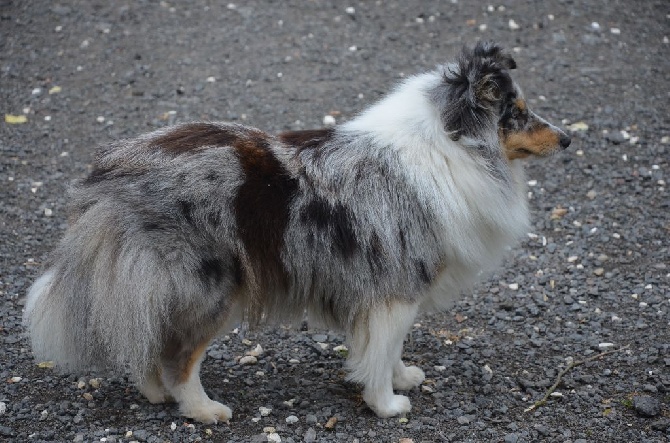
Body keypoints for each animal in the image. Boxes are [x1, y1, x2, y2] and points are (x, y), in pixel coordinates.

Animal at [25, 42, 572, 426]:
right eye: (518, 113)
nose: (568, 138)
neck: (451, 146)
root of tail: (109, 173)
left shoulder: (391, 290)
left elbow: (390, 347)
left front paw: (403, 378)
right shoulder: (395, 286)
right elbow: (380, 350)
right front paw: (386, 403)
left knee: (147, 337)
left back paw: (155, 392)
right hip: (209, 287)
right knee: (179, 356)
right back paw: (202, 410)